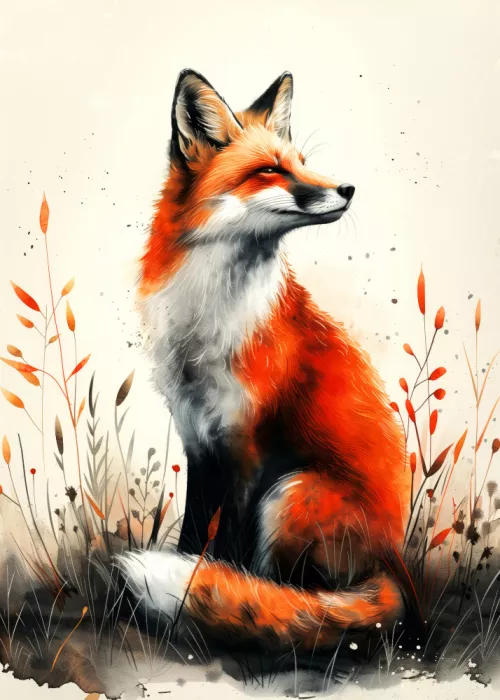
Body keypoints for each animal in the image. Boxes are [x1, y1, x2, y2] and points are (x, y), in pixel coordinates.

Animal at [118, 69, 411, 651]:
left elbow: (228, 551)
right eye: (271, 169)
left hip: (290, 493)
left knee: (306, 592)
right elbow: (193, 535)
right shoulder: (199, 437)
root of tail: (394, 567)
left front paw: (207, 597)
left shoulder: (247, 447)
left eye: (303, 161)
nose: (347, 189)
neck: (209, 321)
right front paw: (190, 586)